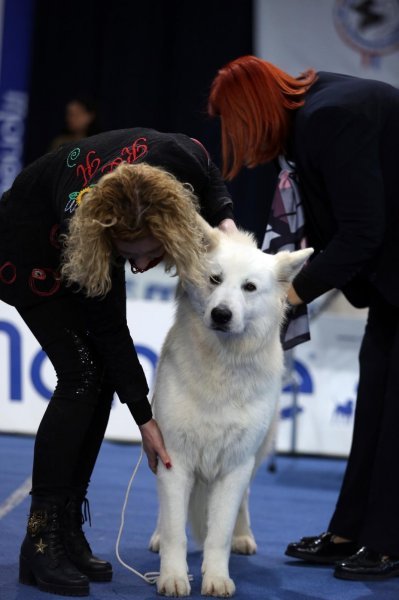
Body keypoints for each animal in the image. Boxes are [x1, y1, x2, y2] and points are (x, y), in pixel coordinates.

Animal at [148, 223, 314, 596]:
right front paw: (173, 577)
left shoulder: (236, 464)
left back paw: (243, 536)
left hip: (255, 458)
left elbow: (219, 533)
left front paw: (217, 578)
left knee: (244, 501)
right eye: (215, 279)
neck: (222, 364)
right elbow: (175, 529)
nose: (221, 314)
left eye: (249, 287)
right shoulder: (174, 457)